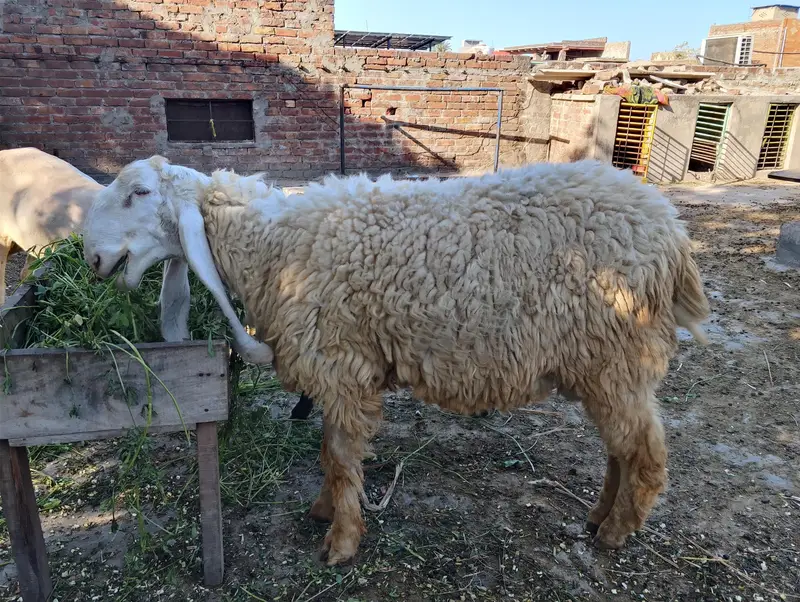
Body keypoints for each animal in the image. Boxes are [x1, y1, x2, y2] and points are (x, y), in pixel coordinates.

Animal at [80, 155, 710, 567]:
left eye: (139, 193)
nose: (91, 258)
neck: (273, 246)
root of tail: (674, 236)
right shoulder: (339, 369)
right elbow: (331, 456)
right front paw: (324, 511)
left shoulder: (339, 366)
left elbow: (338, 458)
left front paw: (339, 541)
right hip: (604, 365)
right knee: (621, 447)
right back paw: (599, 516)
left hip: (617, 356)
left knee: (645, 451)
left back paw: (617, 531)